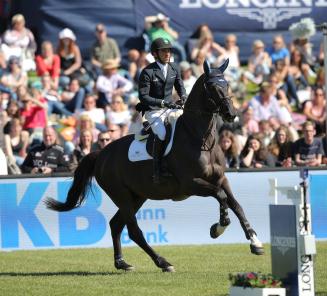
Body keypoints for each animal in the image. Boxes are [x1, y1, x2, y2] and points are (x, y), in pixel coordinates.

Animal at [45, 59, 264, 272]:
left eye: (226, 84)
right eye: (211, 86)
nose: (231, 114)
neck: (198, 138)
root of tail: (102, 154)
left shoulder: (221, 178)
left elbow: (236, 204)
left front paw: (255, 242)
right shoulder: (191, 184)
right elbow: (221, 196)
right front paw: (218, 228)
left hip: (137, 196)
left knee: (116, 224)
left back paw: (122, 263)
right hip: (122, 195)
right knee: (133, 230)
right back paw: (163, 262)